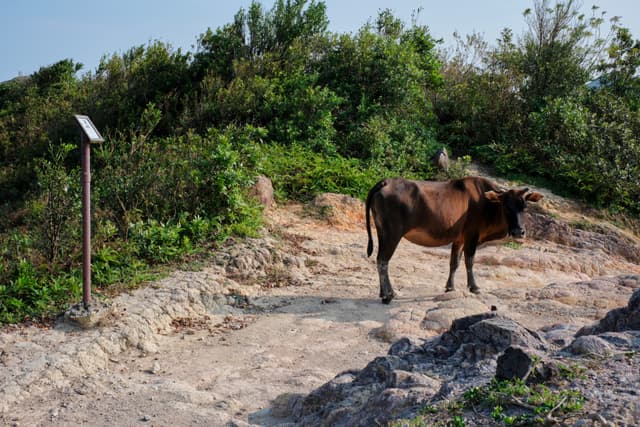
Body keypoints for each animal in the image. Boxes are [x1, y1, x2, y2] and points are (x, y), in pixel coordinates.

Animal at [365, 176, 543, 303]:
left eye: (525, 207)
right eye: (506, 207)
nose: (519, 232)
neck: (487, 204)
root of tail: (386, 182)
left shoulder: (459, 239)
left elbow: (454, 263)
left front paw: (450, 287)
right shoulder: (472, 236)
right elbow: (469, 261)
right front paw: (474, 287)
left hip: (382, 232)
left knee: (380, 259)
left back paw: (383, 292)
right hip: (392, 233)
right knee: (383, 260)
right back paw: (388, 295)